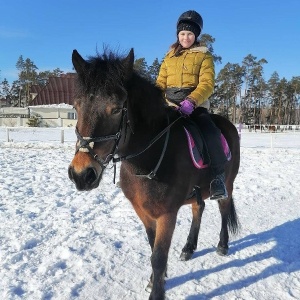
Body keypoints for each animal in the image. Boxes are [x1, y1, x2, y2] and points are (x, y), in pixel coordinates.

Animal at [69, 48, 240, 298]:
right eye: (76, 107)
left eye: (116, 108)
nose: (82, 174)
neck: (150, 157)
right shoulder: (143, 211)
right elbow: (152, 249)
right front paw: (154, 280)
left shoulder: (167, 214)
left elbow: (158, 257)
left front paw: (157, 291)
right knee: (198, 209)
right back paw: (189, 247)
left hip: (227, 183)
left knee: (224, 209)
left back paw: (222, 245)